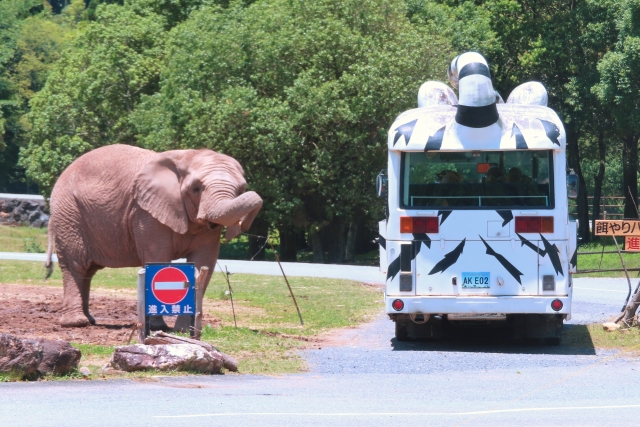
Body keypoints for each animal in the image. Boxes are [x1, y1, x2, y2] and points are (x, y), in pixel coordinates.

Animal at [44, 144, 262, 328]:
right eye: (196, 189)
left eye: (241, 189)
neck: (187, 156)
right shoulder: (146, 213)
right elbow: (159, 258)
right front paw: (158, 327)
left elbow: (203, 263)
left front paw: (186, 330)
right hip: (69, 213)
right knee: (75, 265)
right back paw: (76, 323)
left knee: (88, 271)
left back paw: (89, 320)